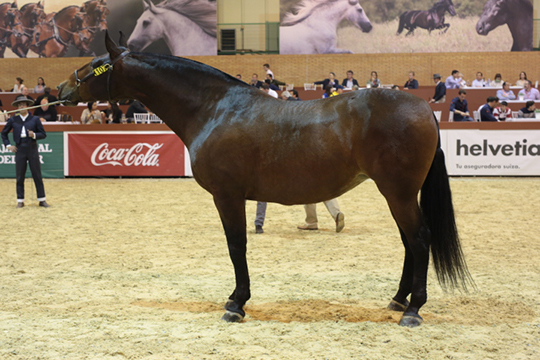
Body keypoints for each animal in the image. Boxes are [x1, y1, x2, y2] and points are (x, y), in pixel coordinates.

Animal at [58, 32, 472, 328]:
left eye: (95, 64)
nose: (61, 90)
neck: (214, 109)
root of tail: (424, 109)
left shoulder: (227, 195)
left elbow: (236, 246)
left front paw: (236, 303)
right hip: (398, 194)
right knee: (409, 243)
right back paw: (399, 299)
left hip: (397, 192)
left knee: (419, 240)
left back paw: (413, 310)